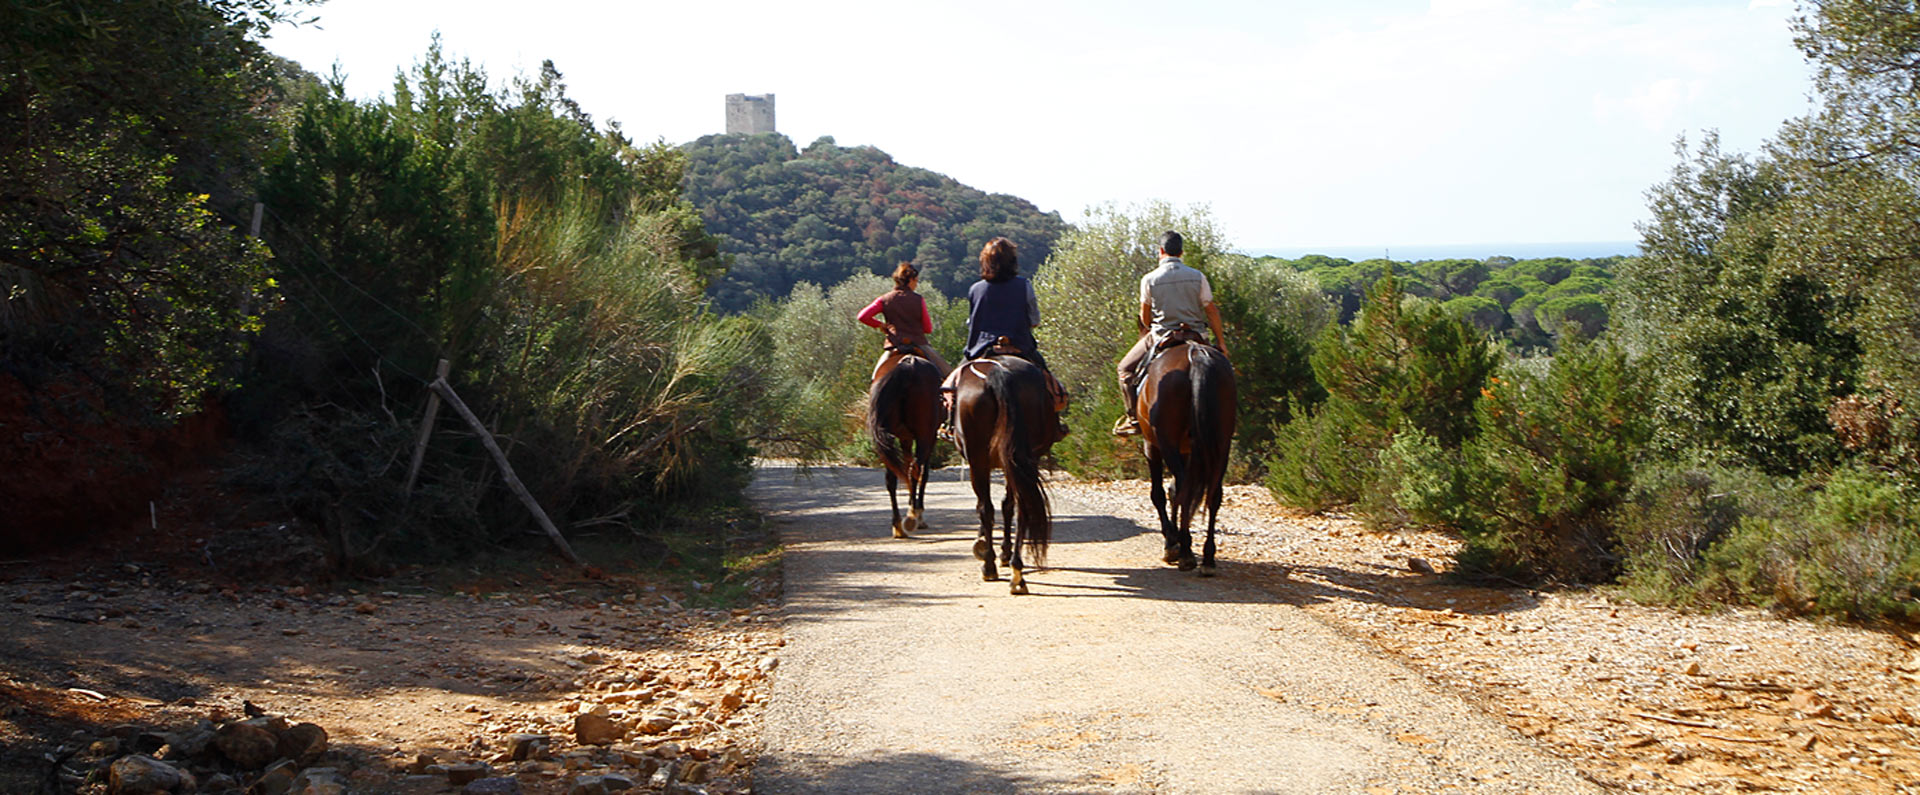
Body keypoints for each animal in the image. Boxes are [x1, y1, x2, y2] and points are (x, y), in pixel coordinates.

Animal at [867, 351, 940, 537]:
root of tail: (909, 365)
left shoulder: (905, 438)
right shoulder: (929, 438)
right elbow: (923, 474)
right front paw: (917, 512)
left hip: (889, 438)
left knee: (892, 478)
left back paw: (898, 525)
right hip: (924, 435)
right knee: (916, 470)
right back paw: (913, 517)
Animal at [948, 357, 1059, 591]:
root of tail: (1000, 373)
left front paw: (985, 548)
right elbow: (1008, 505)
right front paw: (1005, 552)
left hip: (979, 459)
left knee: (986, 508)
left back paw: (990, 566)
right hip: (1024, 458)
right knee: (1022, 507)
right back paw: (1017, 573)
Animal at [1128, 337, 1236, 576]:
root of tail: (1195, 354)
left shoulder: (1152, 447)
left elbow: (1159, 493)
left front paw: (1171, 543)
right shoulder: (1187, 451)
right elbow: (1173, 490)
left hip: (1166, 442)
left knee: (1185, 490)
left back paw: (1186, 552)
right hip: (1222, 445)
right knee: (1213, 494)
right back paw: (1207, 558)